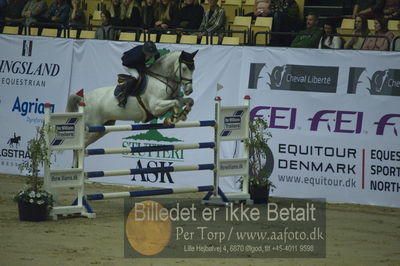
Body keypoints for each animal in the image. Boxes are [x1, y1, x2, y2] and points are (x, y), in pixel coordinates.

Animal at [65, 50, 197, 166]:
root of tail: (84, 98)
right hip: (92, 127)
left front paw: (180, 115)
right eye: (184, 68)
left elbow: (187, 101)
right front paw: (175, 117)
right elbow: (176, 103)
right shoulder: (155, 106)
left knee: (82, 146)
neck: (162, 79)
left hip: (100, 129)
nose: (189, 90)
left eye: (193, 68)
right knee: (78, 147)